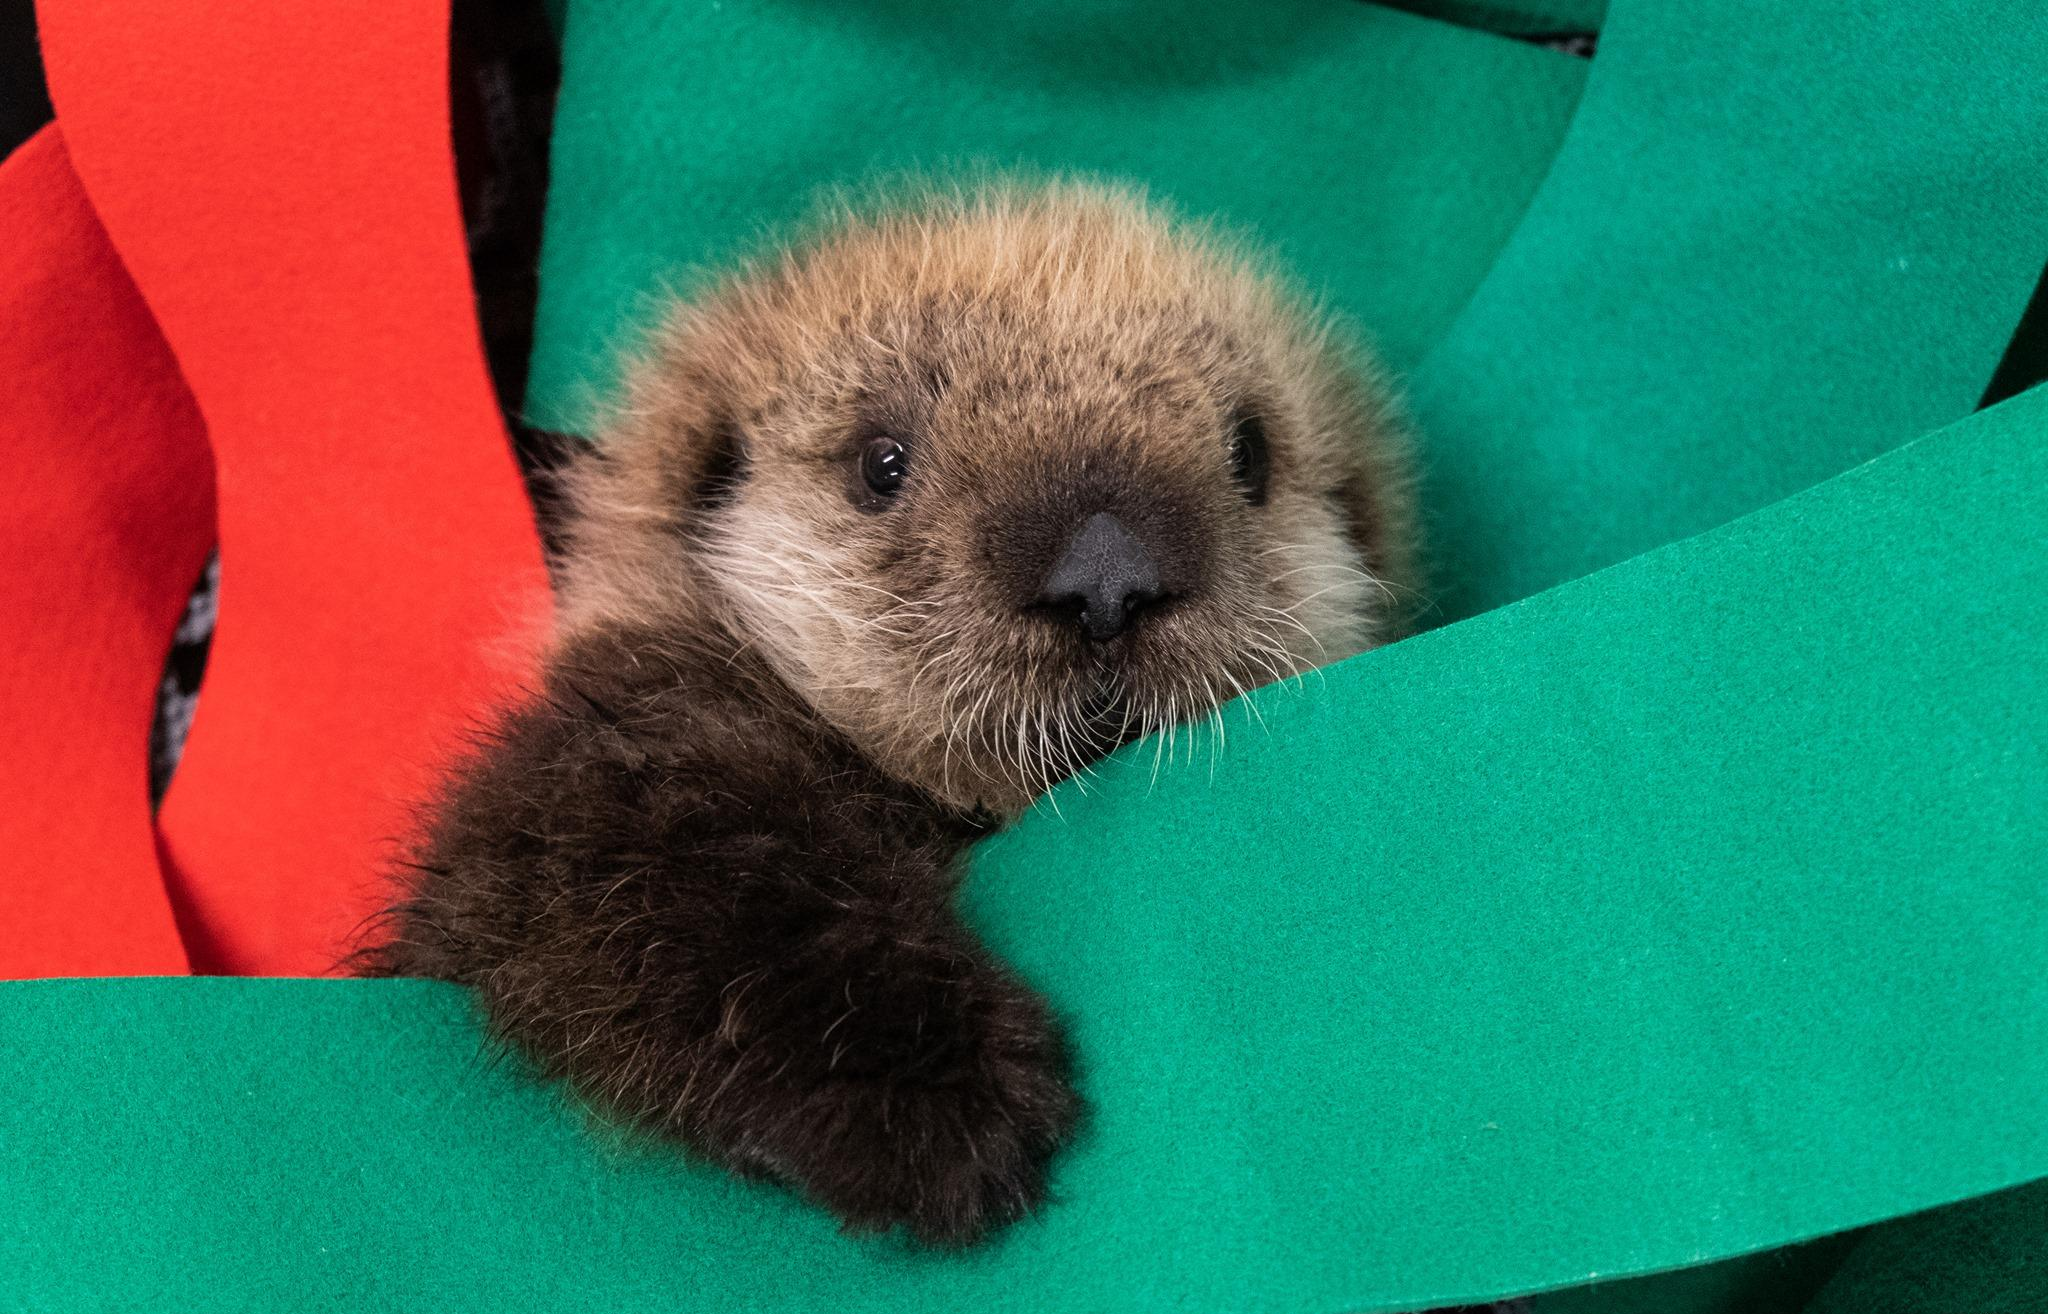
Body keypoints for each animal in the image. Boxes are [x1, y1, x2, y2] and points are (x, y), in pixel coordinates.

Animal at [372, 181, 1418, 1244]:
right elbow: (669, 879)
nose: (1106, 575)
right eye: (883, 462)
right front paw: (941, 1095)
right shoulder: (615, 747)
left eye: (1250, 453)